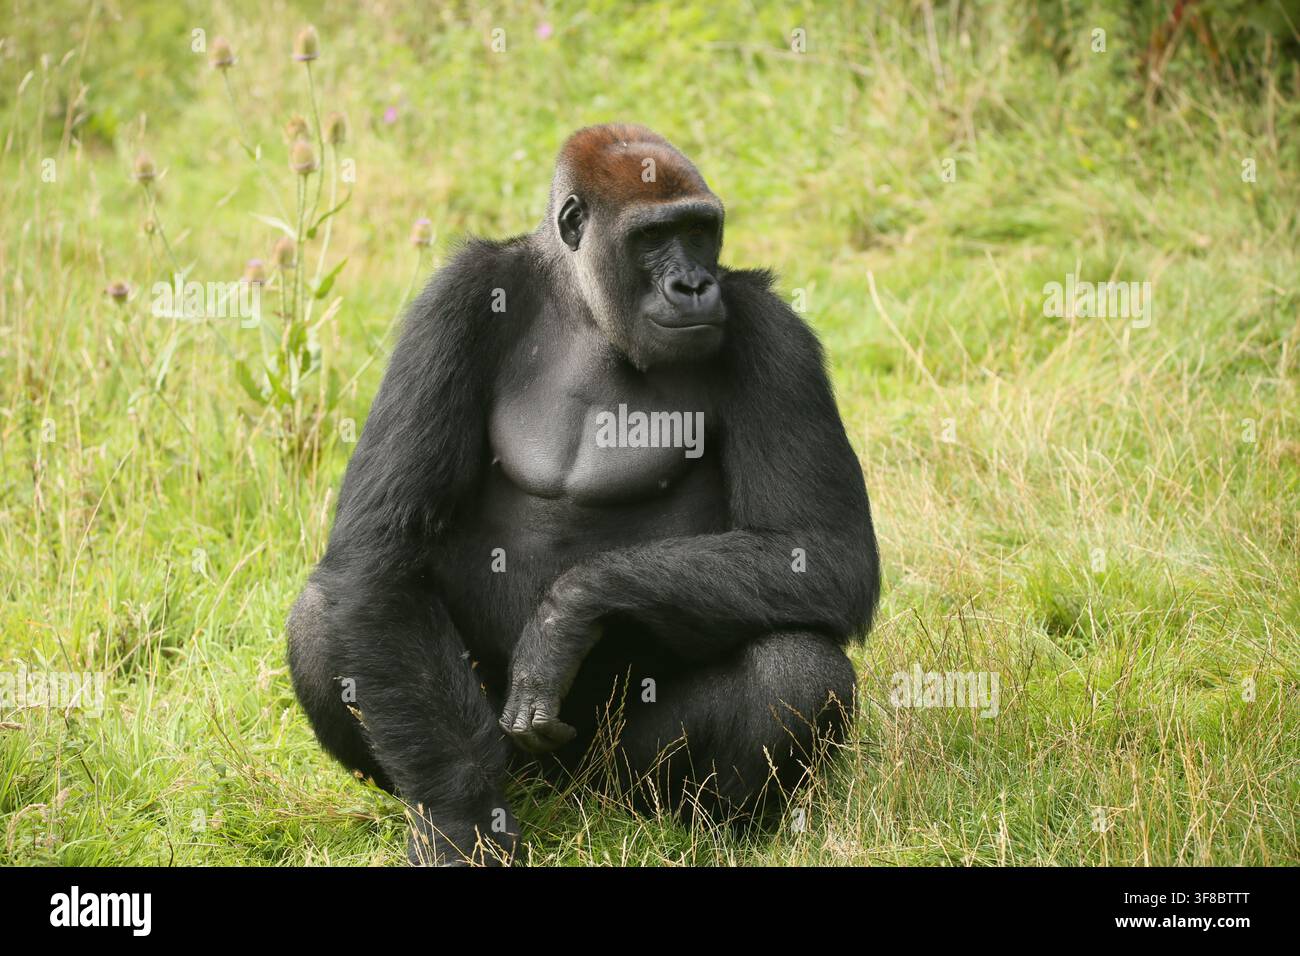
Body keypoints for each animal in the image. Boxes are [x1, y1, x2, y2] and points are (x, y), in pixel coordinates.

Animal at [288, 123, 879, 865]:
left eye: (701, 230)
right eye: (654, 236)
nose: (694, 284)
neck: (584, 306)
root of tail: (569, 794)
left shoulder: (775, 335)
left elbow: (824, 552)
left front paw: (566, 612)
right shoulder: (457, 299)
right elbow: (378, 556)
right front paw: (459, 821)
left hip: (620, 783)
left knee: (795, 668)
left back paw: (715, 829)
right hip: (518, 769)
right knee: (325, 618)